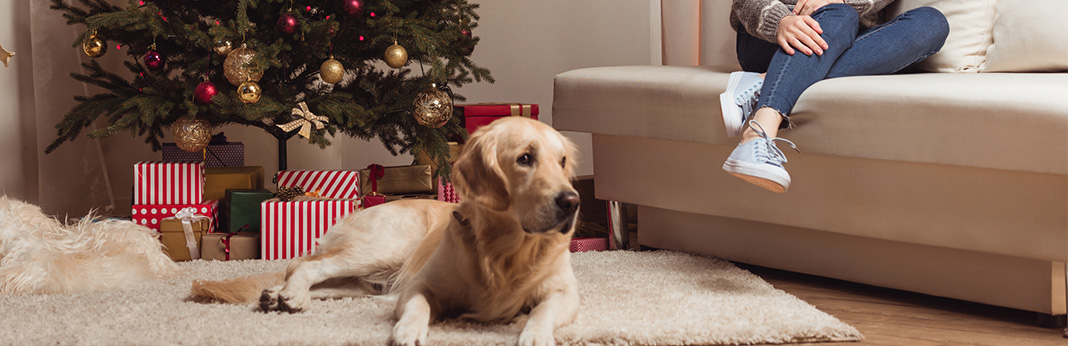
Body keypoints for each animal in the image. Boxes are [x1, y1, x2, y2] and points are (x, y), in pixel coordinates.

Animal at [187, 117, 580, 343]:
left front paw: (535, 336)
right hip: (386, 247)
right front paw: (408, 330)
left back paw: (277, 295)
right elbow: (417, 306)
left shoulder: (564, 294)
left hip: (371, 278)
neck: (505, 249)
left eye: (562, 161)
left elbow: (543, 311)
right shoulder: (424, 285)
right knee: (303, 265)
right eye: (525, 159)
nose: (572, 201)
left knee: (323, 281)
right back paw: (291, 295)